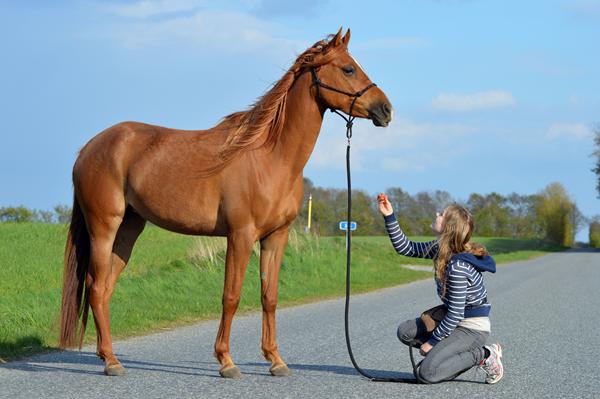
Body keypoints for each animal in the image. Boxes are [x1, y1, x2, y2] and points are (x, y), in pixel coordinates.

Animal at [57, 29, 394, 380]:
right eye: (348, 69)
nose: (386, 109)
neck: (271, 157)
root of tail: (88, 149)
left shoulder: (276, 237)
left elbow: (269, 297)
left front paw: (276, 360)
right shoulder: (240, 236)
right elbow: (231, 297)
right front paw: (226, 361)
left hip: (129, 228)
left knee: (106, 288)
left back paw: (107, 355)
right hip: (104, 227)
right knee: (96, 287)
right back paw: (111, 362)